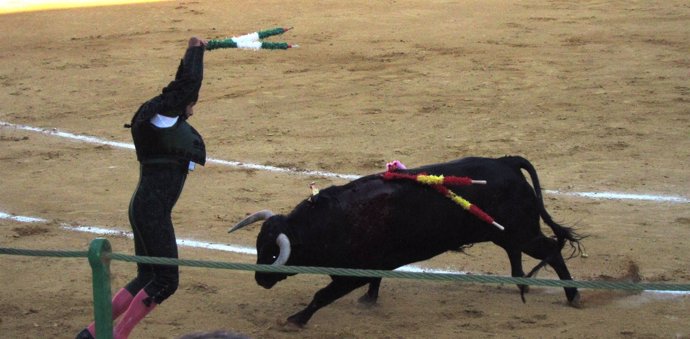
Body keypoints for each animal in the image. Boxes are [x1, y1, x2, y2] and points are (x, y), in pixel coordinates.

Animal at [230, 156, 580, 326]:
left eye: (273, 254)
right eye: (259, 246)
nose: (260, 279)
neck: (330, 222)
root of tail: (507, 162)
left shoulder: (350, 275)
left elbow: (321, 296)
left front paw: (295, 320)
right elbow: (374, 282)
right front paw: (369, 301)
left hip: (524, 232)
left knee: (551, 250)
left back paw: (573, 296)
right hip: (506, 232)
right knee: (515, 251)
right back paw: (522, 284)